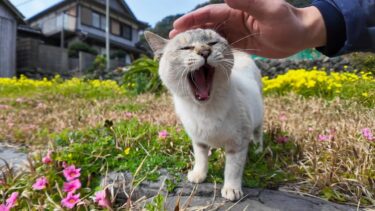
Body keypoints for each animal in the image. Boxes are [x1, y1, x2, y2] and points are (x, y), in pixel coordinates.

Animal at [144, 28, 264, 201]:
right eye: (186, 48)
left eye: (212, 43)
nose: (205, 52)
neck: (204, 110)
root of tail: (242, 54)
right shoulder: (198, 139)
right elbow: (201, 158)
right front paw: (198, 175)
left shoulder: (238, 142)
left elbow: (233, 169)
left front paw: (231, 189)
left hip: (258, 119)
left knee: (258, 134)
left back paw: (258, 150)